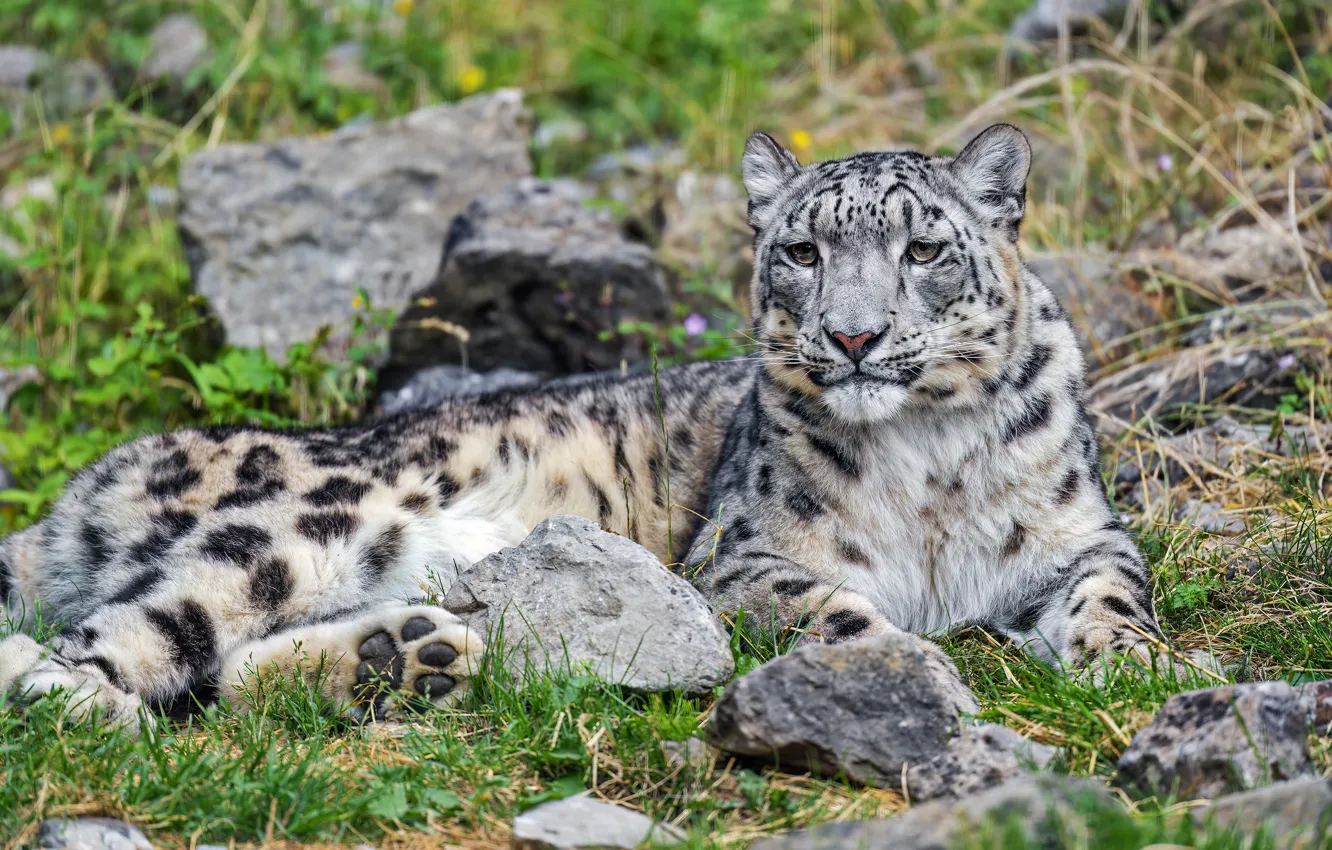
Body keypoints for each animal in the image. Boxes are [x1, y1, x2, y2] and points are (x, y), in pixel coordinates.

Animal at [0, 124, 1171, 730]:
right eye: (801, 251)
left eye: (924, 249)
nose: (853, 334)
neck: (930, 468)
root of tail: (100, 476)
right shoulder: (742, 559)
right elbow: (836, 611)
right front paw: (914, 674)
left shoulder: (1081, 532)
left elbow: (1116, 590)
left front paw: (1136, 666)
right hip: (299, 528)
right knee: (116, 636)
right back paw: (81, 703)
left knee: (229, 675)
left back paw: (405, 655)